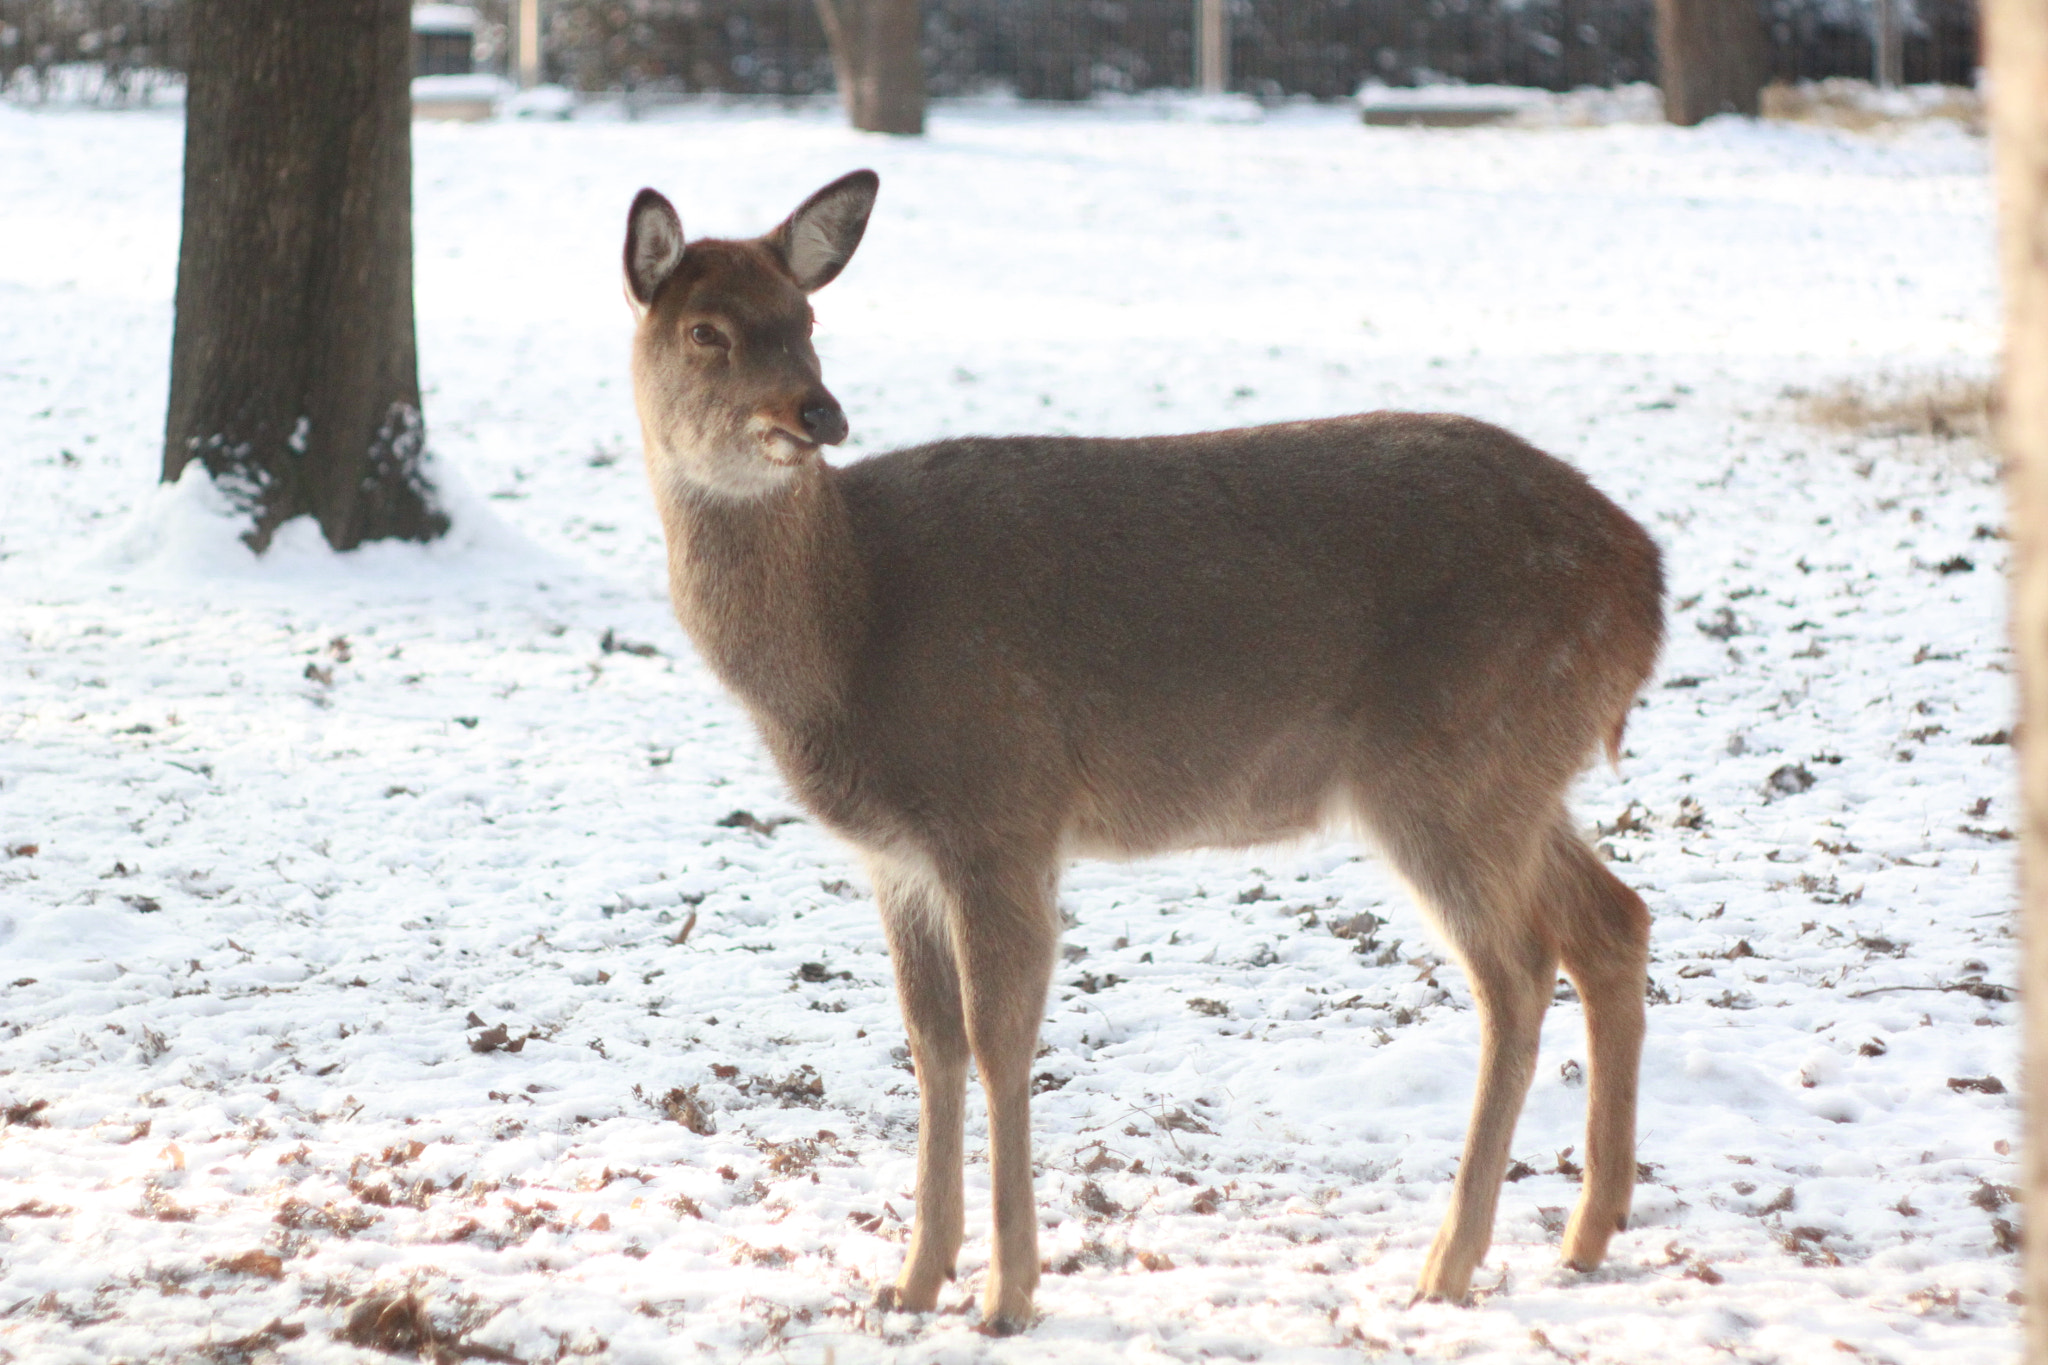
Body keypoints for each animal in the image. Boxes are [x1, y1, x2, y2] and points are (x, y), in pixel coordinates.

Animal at [622, 169, 1665, 1334]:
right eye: (706, 329)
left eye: (804, 320)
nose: (817, 413)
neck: (849, 627)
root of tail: (1646, 588)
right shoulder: (899, 856)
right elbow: (930, 1047)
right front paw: (912, 1279)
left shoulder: (1001, 807)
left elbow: (997, 1041)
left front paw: (1007, 1294)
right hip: (1518, 772)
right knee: (1611, 920)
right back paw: (1588, 1229)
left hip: (1450, 763)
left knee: (1518, 972)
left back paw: (1447, 1262)